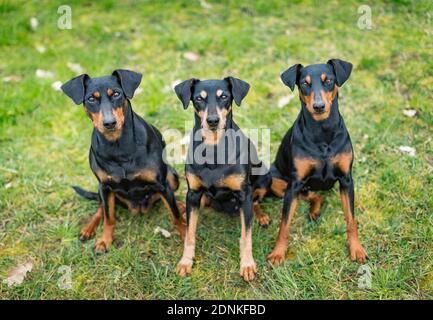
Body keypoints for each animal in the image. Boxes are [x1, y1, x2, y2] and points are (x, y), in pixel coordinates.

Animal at [60, 70, 184, 252]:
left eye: (117, 94)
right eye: (91, 99)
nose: (109, 123)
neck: (117, 146)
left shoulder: (161, 183)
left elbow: (175, 215)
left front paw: (186, 236)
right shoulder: (105, 186)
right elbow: (109, 217)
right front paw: (104, 240)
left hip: (172, 176)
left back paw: (182, 205)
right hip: (101, 190)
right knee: (101, 208)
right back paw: (89, 228)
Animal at [173, 77, 270, 280]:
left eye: (224, 96)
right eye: (198, 98)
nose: (212, 121)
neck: (213, 147)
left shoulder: (243, 193)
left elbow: (246, 236)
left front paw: (247, 264)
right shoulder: (193, 193)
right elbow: (189, 233)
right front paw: (185, 261)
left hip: (264, 175)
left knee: (256, 200)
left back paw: (261, 215)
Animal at [266, 59, 368, 264]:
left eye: (328, 80)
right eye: (304, 84)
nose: (319, 106)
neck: (322, 130)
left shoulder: (346, 180)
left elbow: (351, 219)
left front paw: (357, 248)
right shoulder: (294, 184)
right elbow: (284, 224)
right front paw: (278, 253)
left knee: (316, 195)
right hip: (277, 181)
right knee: (312, 195)